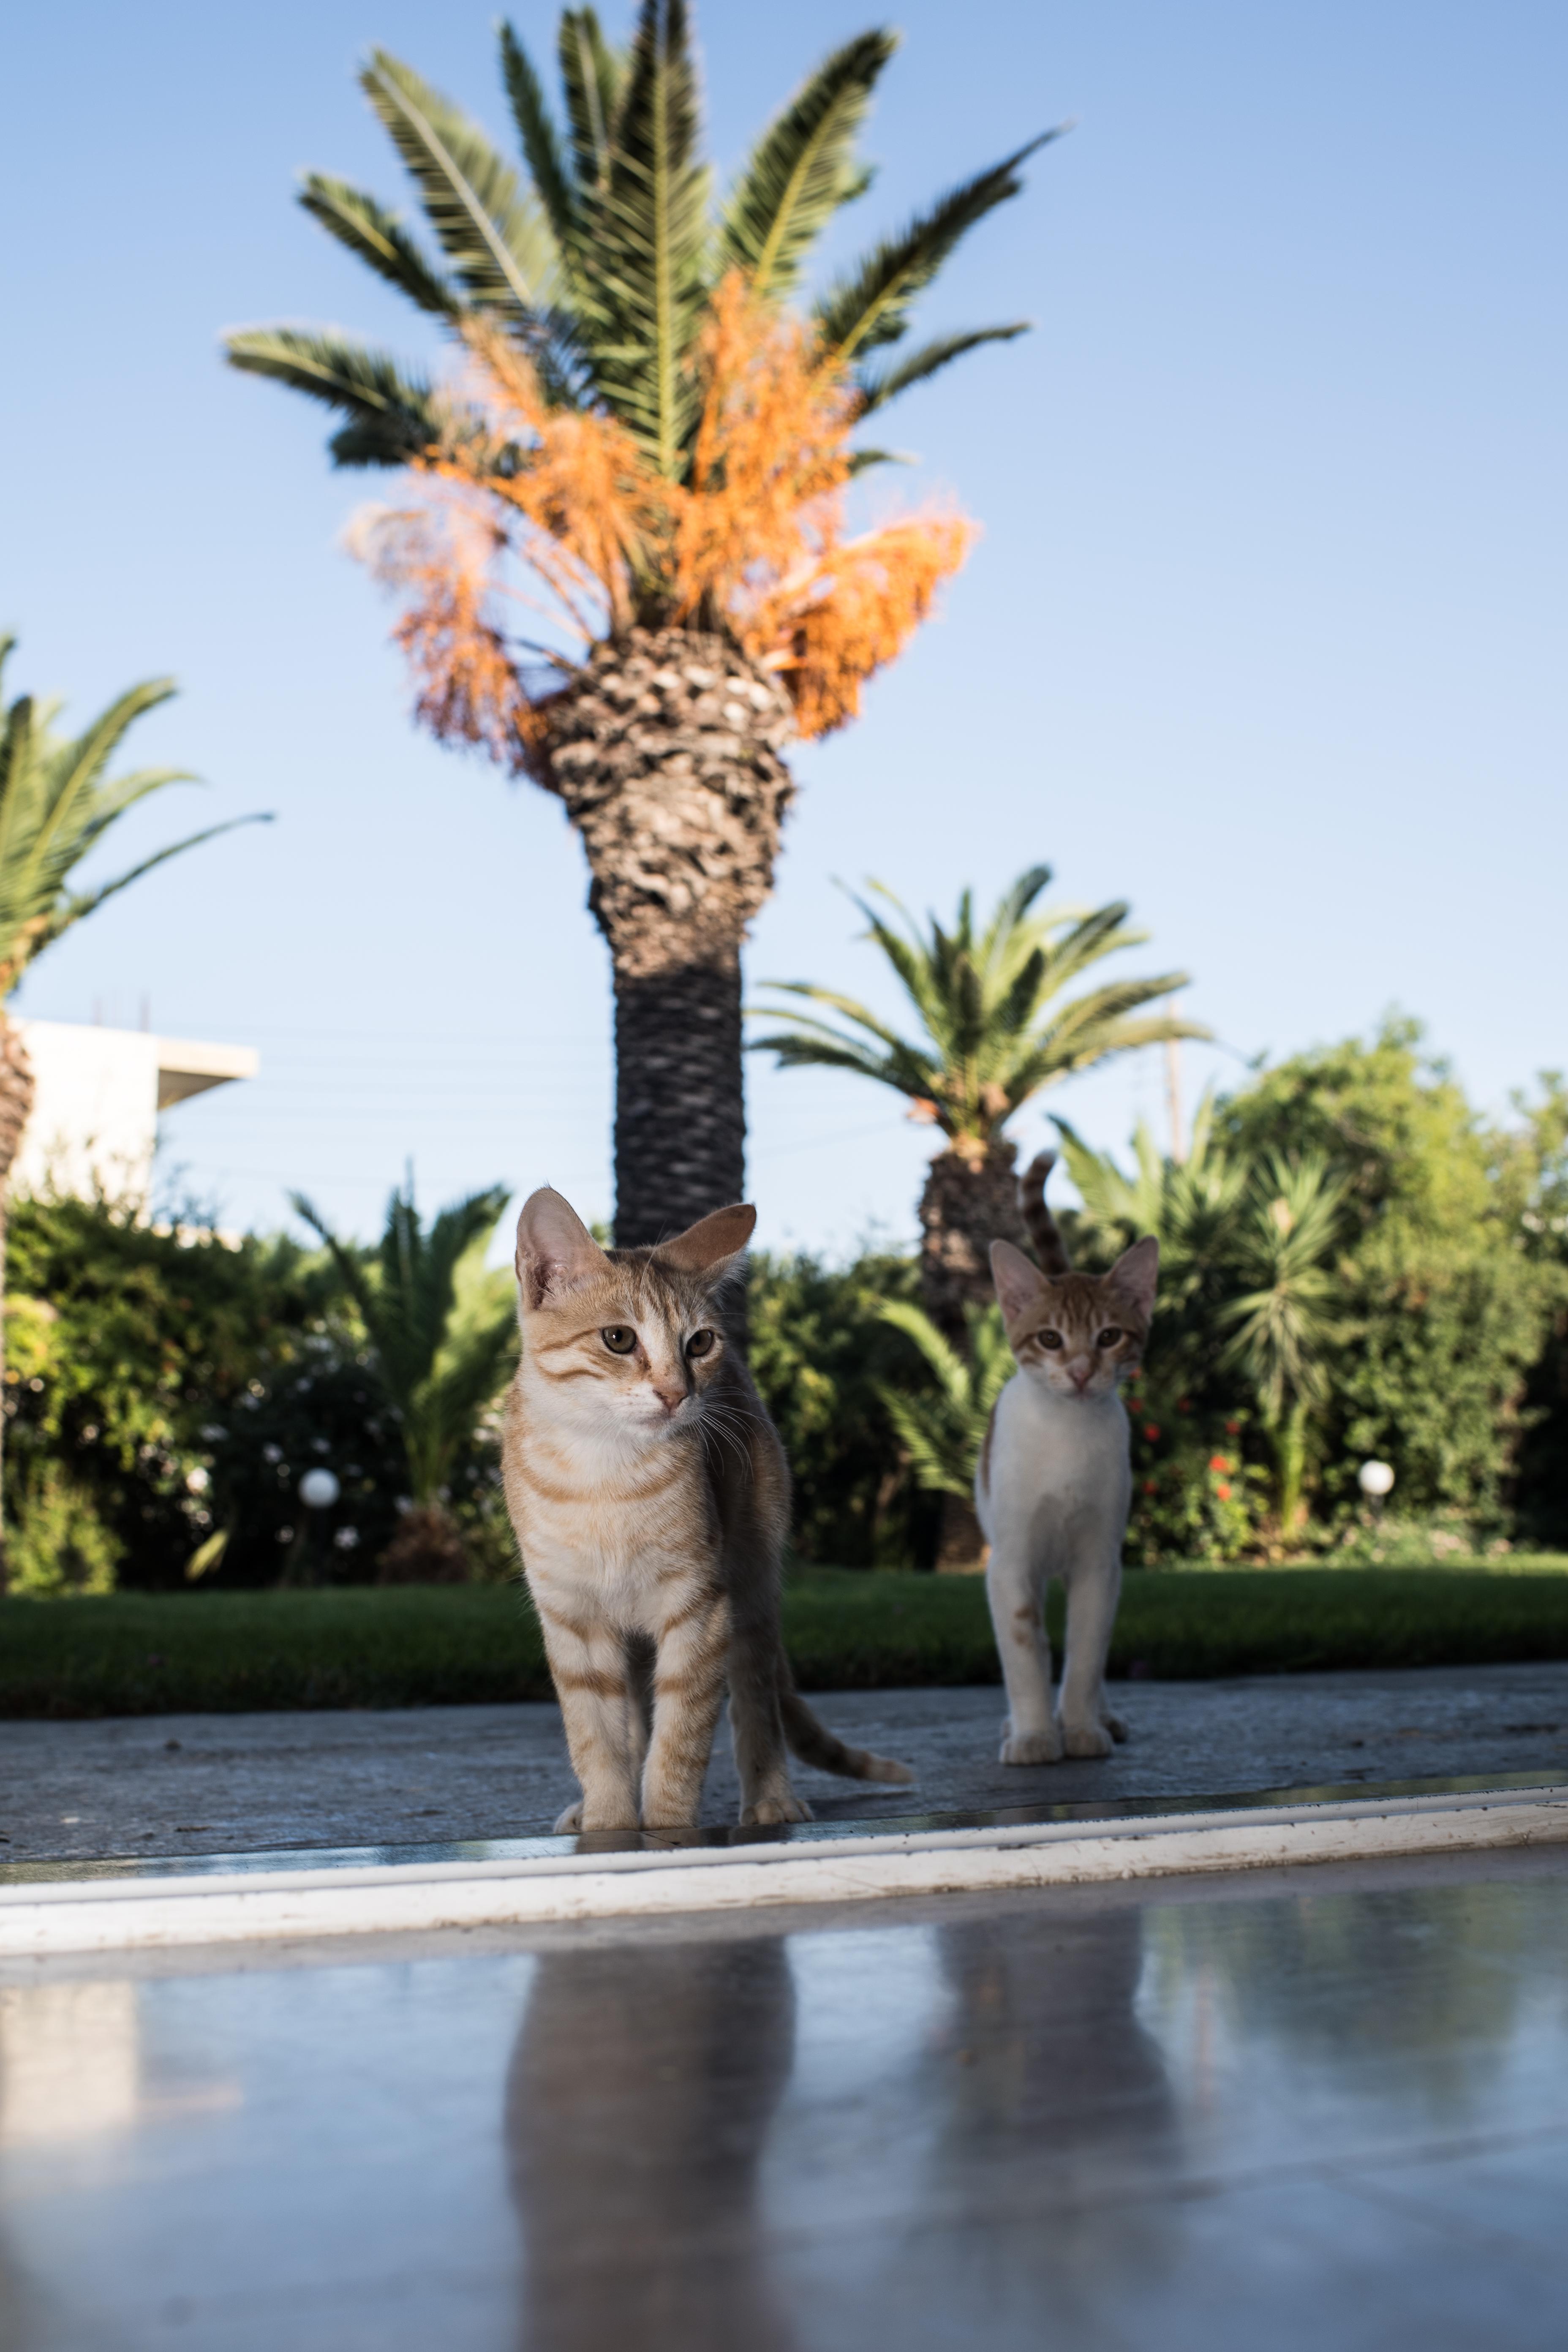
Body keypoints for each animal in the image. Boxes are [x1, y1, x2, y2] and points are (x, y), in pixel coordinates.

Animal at [973, 1148, 1161, 1759]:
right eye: (1050, 1339)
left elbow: (1086, 1652)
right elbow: (1024, 1650)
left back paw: (1104, 1715)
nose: (1080, 1372)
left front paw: (1079, 1727)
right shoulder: (1010, 1562)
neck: (1067, 1435)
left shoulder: (1100, 1560)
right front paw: (1034, 1734)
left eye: (1109, 1337)